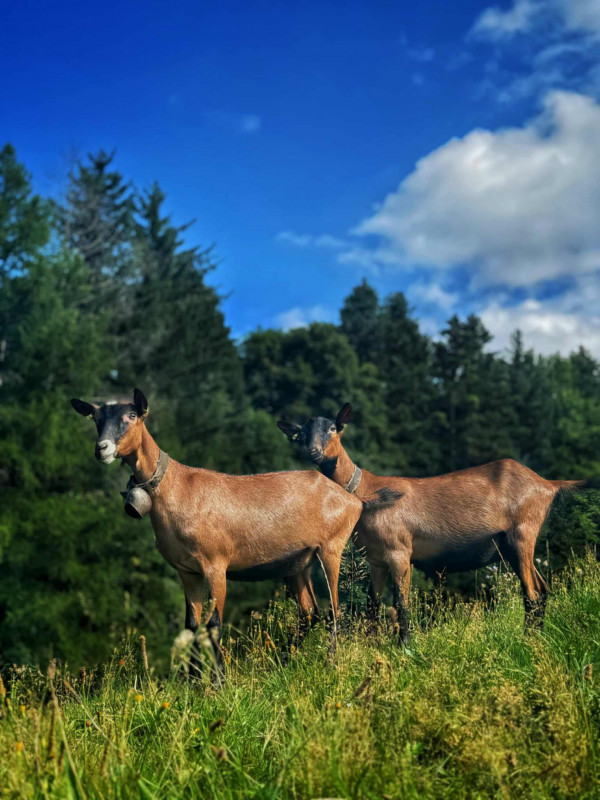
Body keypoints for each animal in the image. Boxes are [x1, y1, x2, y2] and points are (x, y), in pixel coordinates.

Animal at [71, 389, 363, 677]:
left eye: (131, 415)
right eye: (96, 418)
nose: (102, 448)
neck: (177, 487)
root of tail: (352, 501)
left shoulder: (215, 564)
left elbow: (213, 626)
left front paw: (219, 680)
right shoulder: (186, 570)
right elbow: (191, 625)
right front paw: (191, 680)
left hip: (331, 549)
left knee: (334, 611)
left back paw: (330, 664)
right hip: (297, 563)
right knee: (310, 612)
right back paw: (282, 663)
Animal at [278, 403, 592, 642]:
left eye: (334, 427)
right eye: (302, 432)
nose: (314, 452)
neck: (367, 491)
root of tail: (547, 485)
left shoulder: (399, 551)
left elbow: (401, 604)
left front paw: (405, 648)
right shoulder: (376, 559)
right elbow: (372, 607)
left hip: (522, 534)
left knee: (533, 593)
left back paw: (528, 641)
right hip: (511, 547)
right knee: (542, 588)